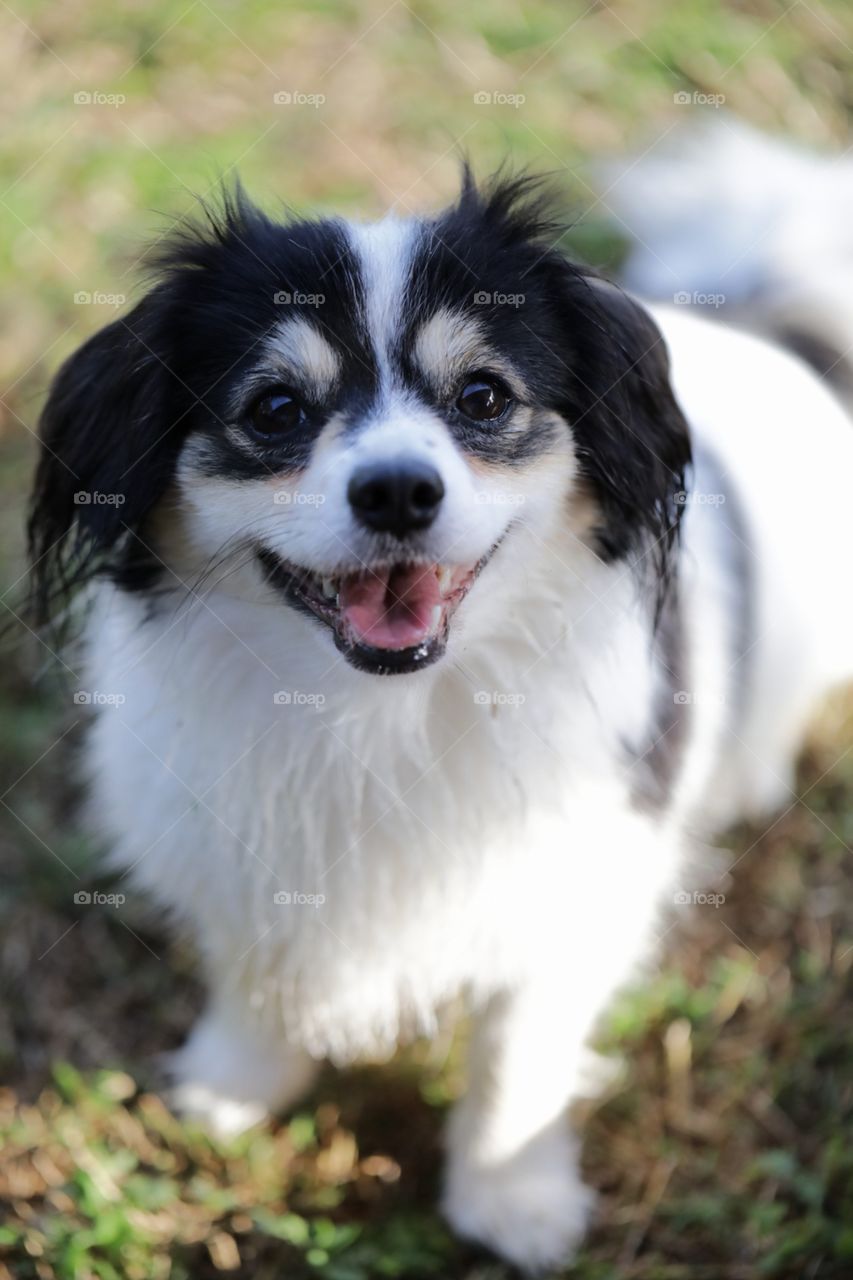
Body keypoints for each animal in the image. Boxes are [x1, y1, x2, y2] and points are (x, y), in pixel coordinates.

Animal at [26, 172, 850, 1269]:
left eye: (483, 397)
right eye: (275, 409)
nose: (397, 491)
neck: (380, 710)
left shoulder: (580, 878)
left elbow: (517, 1056)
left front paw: (513, 1203)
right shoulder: (229, 834)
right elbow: (252, 962)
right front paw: (235, 1084)